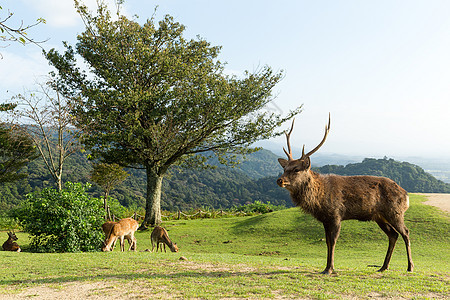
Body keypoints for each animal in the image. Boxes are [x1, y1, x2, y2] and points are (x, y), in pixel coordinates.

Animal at [276, 115, 414, 274]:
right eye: (285, 168)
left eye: (296, 169)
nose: (280, 180)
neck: (319, 199)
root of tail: (406, 195)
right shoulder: (325, 219)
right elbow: (327, 242)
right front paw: (326, 267)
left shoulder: (336, 214)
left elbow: (333, 241)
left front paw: (330, 268)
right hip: (379, 216)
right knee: (393, 235)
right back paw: (383, 267)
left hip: (395, 212)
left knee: (405, 232)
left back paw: (410, 266)